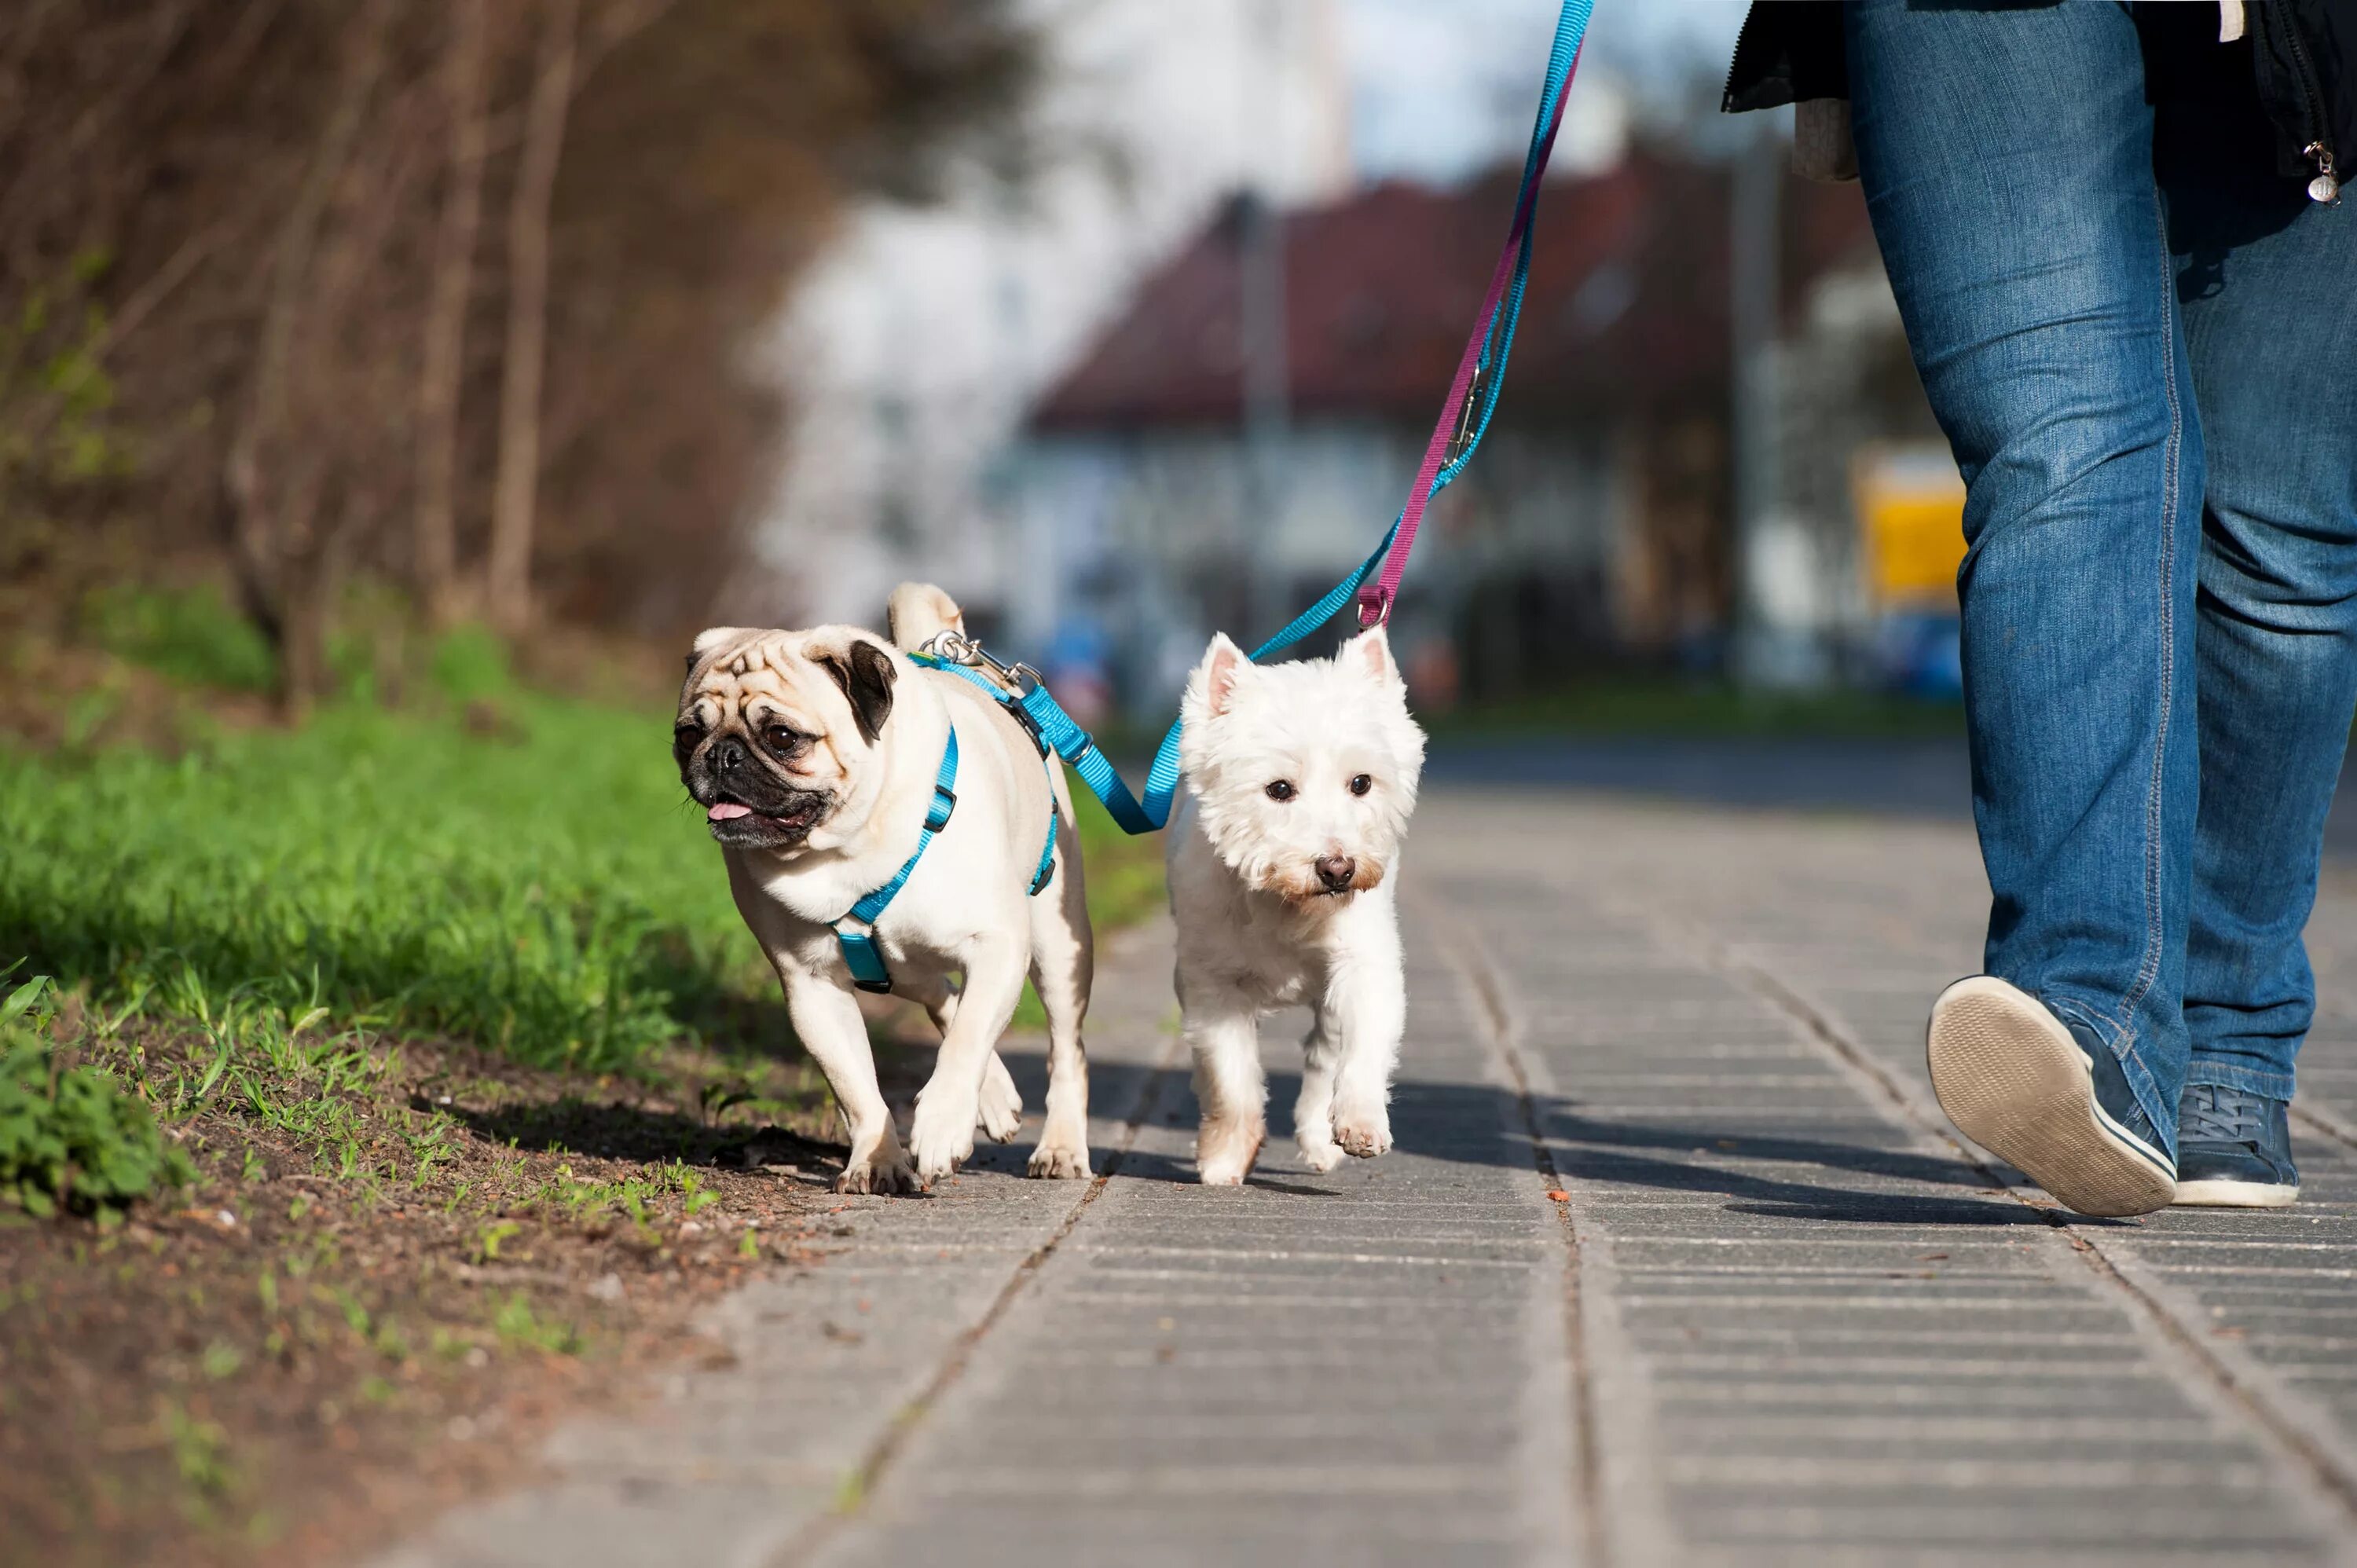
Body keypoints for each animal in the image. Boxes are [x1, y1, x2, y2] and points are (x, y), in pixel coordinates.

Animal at [674, 584, 1094, 1188]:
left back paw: (1060, 1146)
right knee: (941, 994)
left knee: (1063, 1048)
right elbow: (857, 1090)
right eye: (688, 736)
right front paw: (878, 1161)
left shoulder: (998, 944)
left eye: (782, 737)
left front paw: (942, 1125)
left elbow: (967, 1041)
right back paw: (994, 1098)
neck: (844, 848)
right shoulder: (812, 989)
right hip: (900, 967)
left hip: (1058, 946)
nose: (722, 754)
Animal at [1169, 632, 1424, 1178]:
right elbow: (1232, 1080)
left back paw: (1321, 1138)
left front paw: (1361, 1124)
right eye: (1279, 789)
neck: (1288, 905)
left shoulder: (1363, 962)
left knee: (1323, 1053)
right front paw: (1225, 1157)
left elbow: (1363, 1045)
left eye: (1361, 782)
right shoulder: (1213, 986)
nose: (1338, 869)